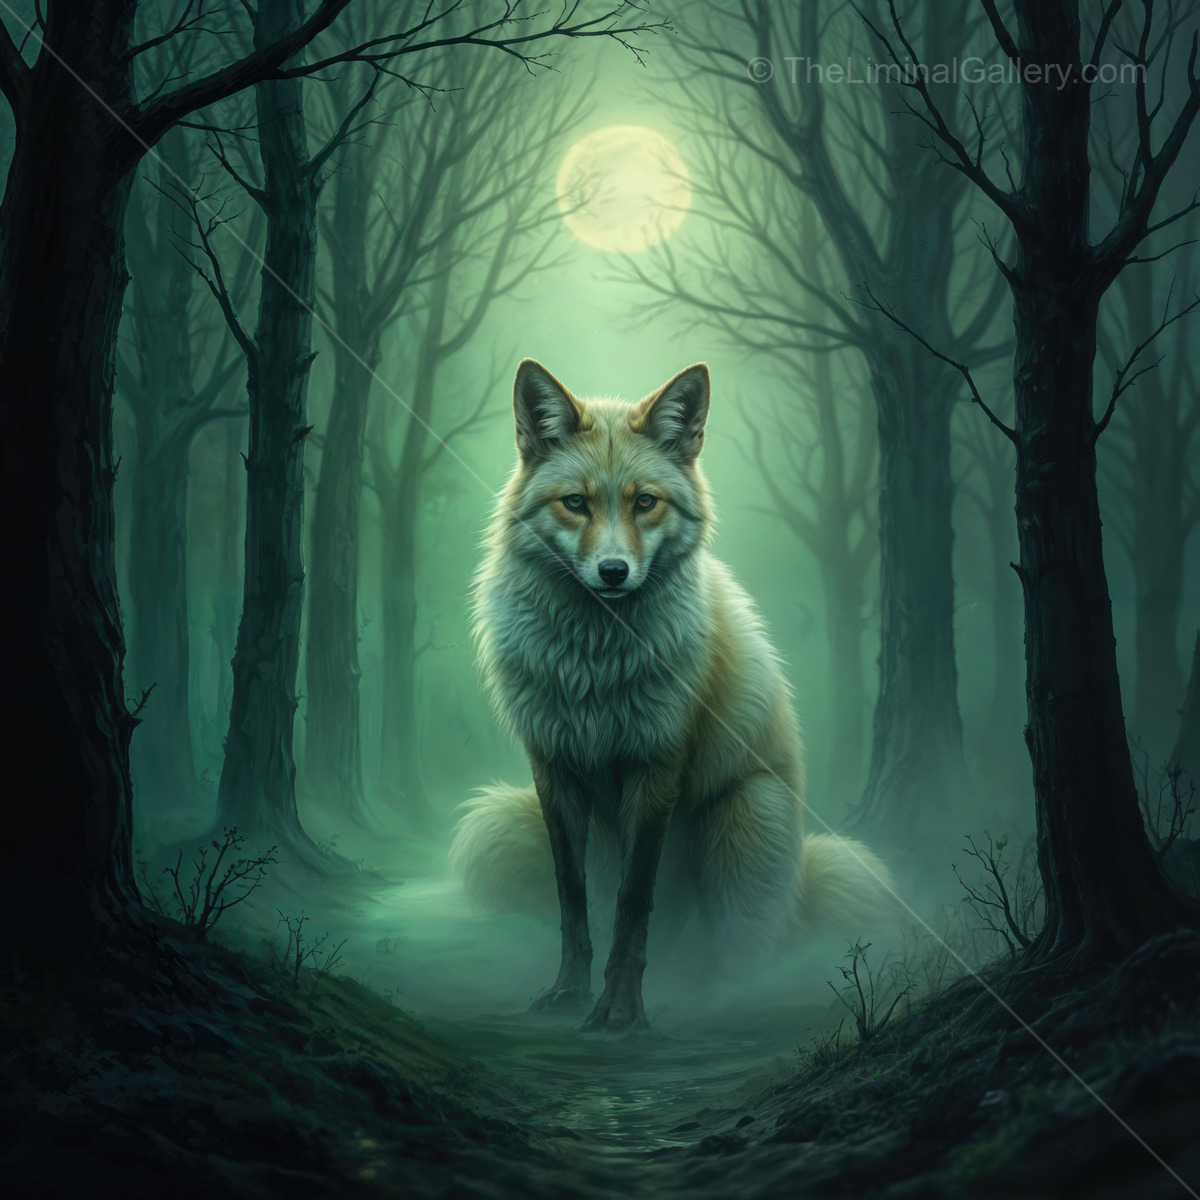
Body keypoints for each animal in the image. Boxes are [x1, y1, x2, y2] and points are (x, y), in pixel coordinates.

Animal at [450, 359, 894, 1033]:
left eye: (645, 503)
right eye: (575, 503)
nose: (613, 572)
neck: (595, 668)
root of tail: (800, 886)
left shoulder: (656, 764)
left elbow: (635, 905)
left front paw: (620, 1009)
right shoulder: (552, 767)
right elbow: (573, 900)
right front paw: (568, 992)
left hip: (749, 817)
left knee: (743, 949)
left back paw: (717, 990)